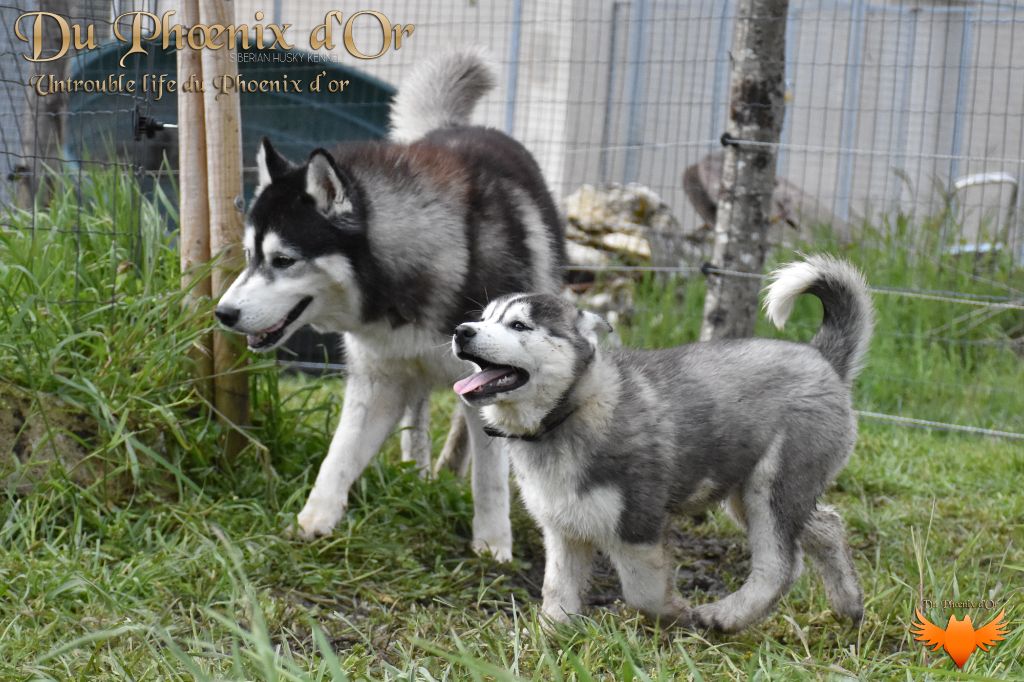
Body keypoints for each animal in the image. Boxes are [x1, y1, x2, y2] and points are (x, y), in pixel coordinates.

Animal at [218, 49, 569, 557]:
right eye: (249, 256)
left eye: (283, 260)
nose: (222, 314)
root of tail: (454, 125)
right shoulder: (376, 378)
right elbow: (338, 456)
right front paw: (312, 523)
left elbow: (490, 477)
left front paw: (492, 545)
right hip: (410, 372)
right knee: (417, 411)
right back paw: (416, 469)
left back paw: (447, 470)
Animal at [454, 256, 872, 630]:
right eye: (484, 318)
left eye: (518, 325)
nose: (461, 330)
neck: (568, 413)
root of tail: (821, 357)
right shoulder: (562, 529)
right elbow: (556, 592)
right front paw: (551, 639)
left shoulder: (638, 525)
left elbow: (644, 593)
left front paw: (677, 613)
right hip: (751, 495)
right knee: (827, 526)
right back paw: (848, 606)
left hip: (773, 486)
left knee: (781, 565)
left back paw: (725, 616)